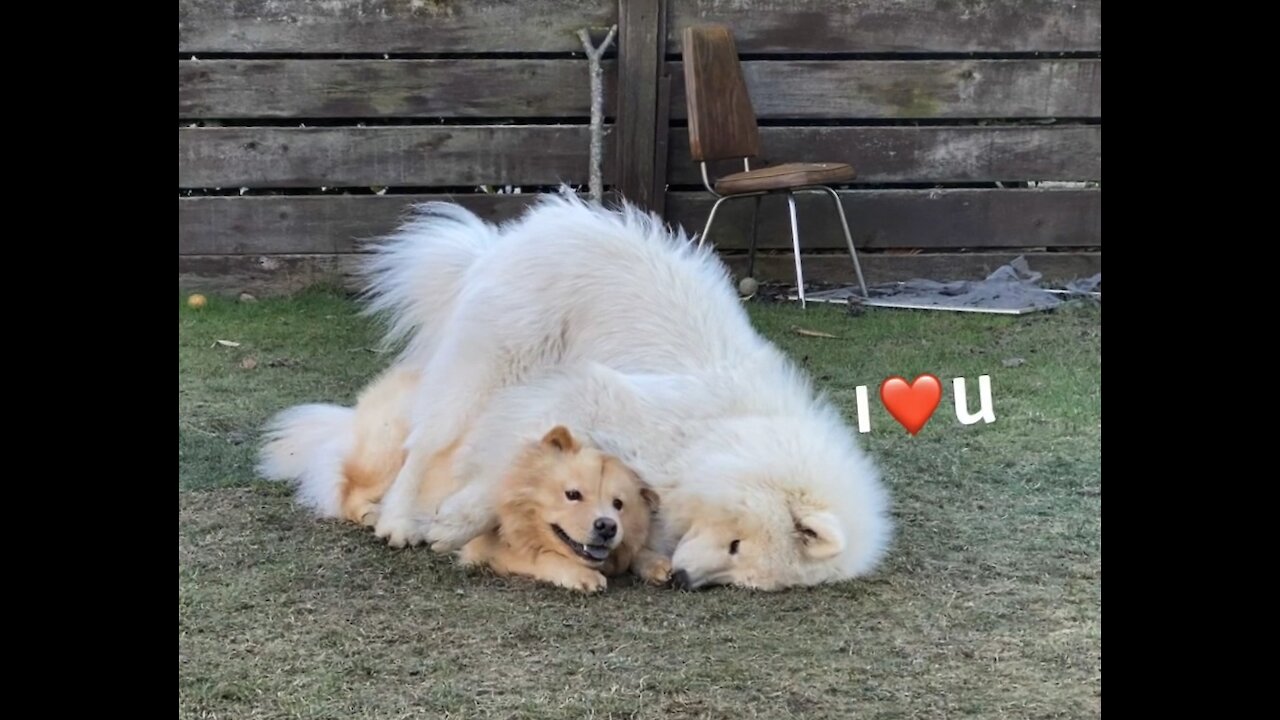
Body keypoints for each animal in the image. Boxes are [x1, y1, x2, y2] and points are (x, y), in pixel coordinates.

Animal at [355, 192, 896, 589]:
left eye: (742, 578)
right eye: (737, 546)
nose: (683, 581)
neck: (725, 432)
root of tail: (499, 243)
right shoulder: (590, 396)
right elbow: (506, 467)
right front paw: (455, 524)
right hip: (490, 370)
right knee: (424, 445)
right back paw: (399, 521)